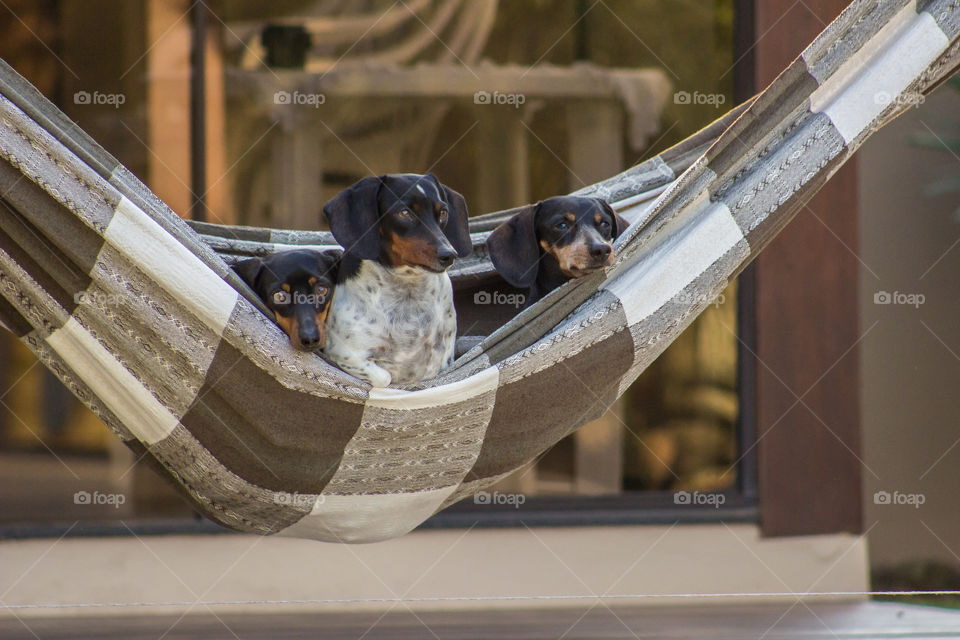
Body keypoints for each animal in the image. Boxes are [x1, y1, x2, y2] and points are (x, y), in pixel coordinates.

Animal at [322, 172, 472, 388]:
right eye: (404, 212)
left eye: (443, 212)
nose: (449, 254)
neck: (407, 290)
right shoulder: (346, 354)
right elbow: (384, 377)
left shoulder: (442, 360)